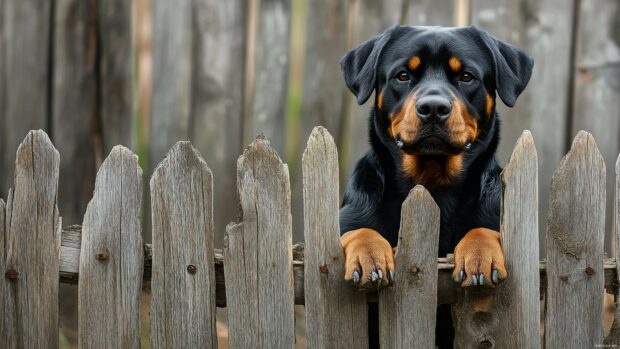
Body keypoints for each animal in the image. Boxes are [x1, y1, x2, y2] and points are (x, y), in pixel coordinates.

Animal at [340, 25, 532, 346]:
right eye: (403, 75)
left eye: (466, 76)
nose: (433, 107)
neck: (433, 185)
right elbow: (357, 229)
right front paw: (369, 255)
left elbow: (484, 229)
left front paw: (479, 255)